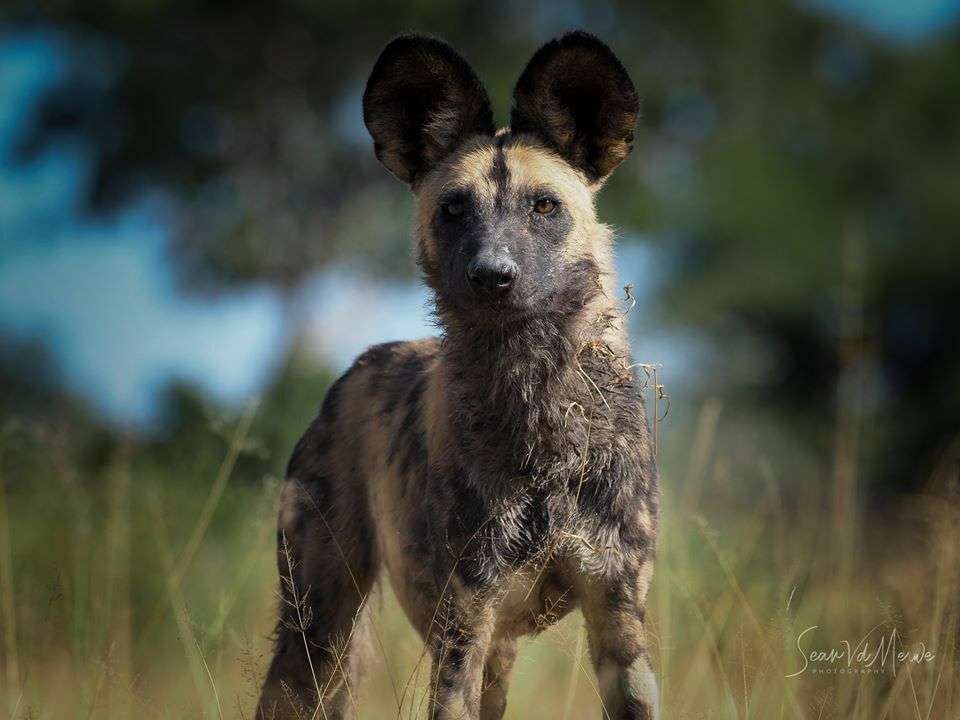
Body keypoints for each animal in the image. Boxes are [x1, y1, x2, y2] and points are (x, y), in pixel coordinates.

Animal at [256, 31, 660, 720]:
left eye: (544, 206)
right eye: (453, 209)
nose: (491, 275)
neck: (536, 414)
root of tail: (358, 367)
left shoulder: (618, 620)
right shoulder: (463, 627)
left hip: (491, 655)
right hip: (316, 634)